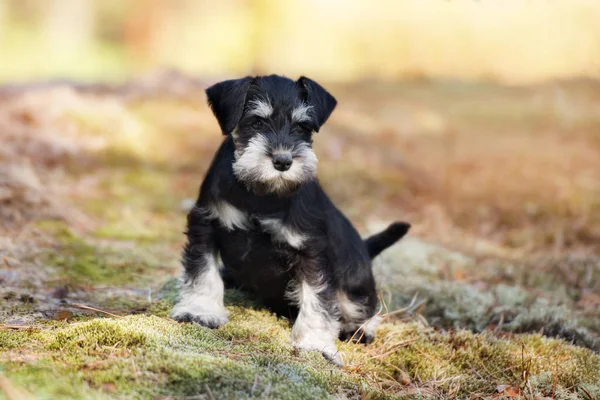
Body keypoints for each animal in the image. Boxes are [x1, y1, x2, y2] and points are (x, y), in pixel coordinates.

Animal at [171, 75, 410, 366]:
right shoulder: (205, 225)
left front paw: (315, 345)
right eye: (257, 122)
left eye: (301, 127)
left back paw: (360, 330)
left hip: (355, 281)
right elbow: (203, 271)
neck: (261, 194)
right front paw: (199, 311)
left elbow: (316, 300)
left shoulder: (311, 251)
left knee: (363, 307)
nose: (283, 161)